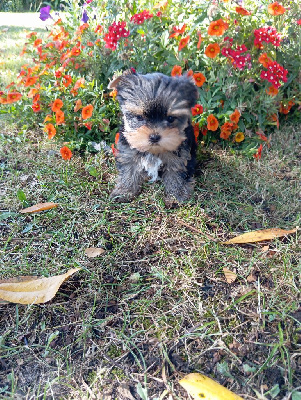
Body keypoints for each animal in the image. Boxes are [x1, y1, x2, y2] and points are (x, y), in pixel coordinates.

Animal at [109, 69, 198, 205]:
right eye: (139, 117)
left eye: (170, 118)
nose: (155, 137)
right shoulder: (128, 150)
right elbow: (129, 169)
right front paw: (124, 191)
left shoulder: (180, 155)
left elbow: (176, 172)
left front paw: (176, 195)